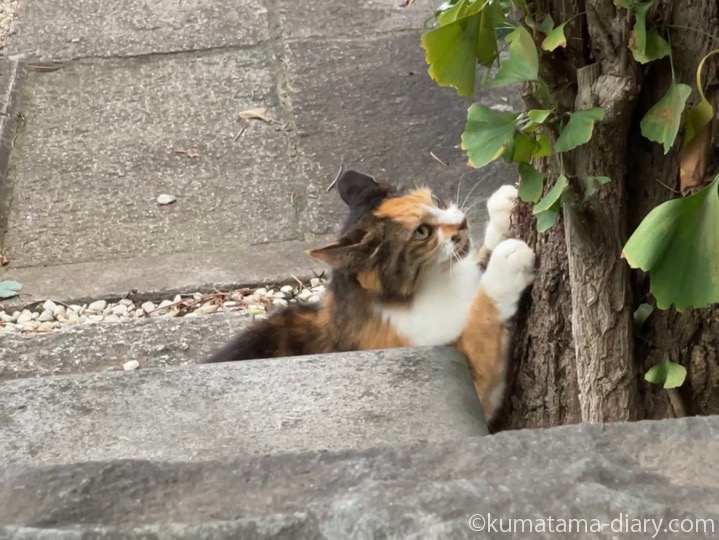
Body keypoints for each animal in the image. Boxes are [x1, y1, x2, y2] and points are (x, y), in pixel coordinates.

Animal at [202, 171, 536, 420]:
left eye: (436, 200)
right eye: (422, 233)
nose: (462, 222)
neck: (432, 285)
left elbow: (481, 257)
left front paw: (505, 208)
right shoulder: (465, 377)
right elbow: (481, 318)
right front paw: (509, 260)